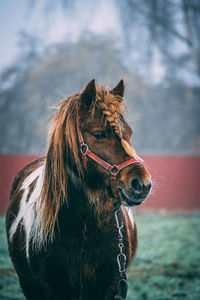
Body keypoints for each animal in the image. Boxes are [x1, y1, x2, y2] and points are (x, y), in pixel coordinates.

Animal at [5, 80, 151, 300]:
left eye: (130, 133)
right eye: (99, 134)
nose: (142, 184)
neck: (82, 225)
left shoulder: (112, 285)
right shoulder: (46, 288)